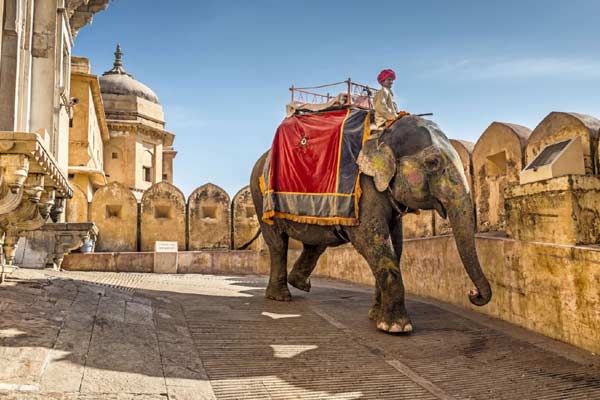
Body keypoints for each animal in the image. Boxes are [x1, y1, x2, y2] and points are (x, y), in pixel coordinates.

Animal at [248, 115, 492, 334]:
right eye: (433, 163)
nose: (473, 294)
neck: (383, 133)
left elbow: (396, 245)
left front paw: (376, 317)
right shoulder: (365, 187)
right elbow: (373, 240)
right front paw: (396, 328)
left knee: (315, 243)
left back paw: (300, 284)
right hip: (260, 198)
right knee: (278, 243)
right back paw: (280, 297)